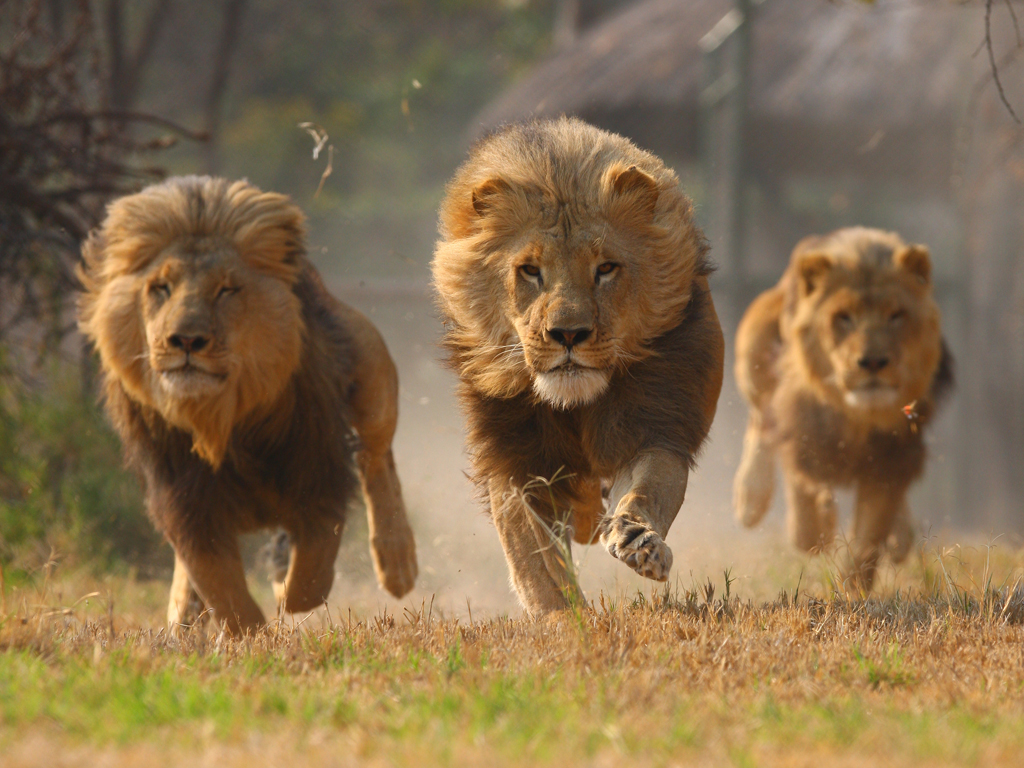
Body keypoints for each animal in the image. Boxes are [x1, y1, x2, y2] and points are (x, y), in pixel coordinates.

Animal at [77, 176, 418, 635]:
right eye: (160, 288)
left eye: (227, 290)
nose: (185, 340)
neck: (221, 421)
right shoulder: (184, 500)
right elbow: (220, 587)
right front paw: (242, 628)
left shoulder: (316, 476)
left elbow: (309, 577)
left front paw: (282, 579)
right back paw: (184, 611)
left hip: (370, 364)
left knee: (377, 459)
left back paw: (397, 563)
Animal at [432, 117, 725, 615]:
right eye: (530, 271)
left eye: (605, 268)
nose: (568, 334)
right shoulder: (512, 456)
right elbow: (532, 551)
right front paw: (560, 615)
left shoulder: (653, 424)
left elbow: (648, 487)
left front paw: (638, 539)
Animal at [733, 227, 954, 591]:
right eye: (844, 318)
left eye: (896, 316)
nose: (873, 362)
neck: (857, 417)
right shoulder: (800, 430)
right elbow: (804, 496)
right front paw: (817, 526)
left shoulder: (893, 457)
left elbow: (868, 539)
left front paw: (853, 591)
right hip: (755, 343)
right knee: (760, 421)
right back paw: (750, 499)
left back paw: (900, 538)